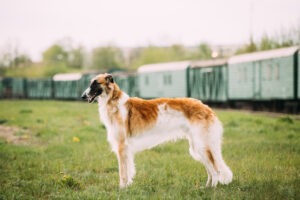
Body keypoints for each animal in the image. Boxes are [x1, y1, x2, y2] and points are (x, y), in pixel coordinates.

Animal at [81, 73, 233, 188]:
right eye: (91, 83)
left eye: (95, 83)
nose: (82, 96)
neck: (114, 101)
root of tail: (207, 108)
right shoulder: (126, 149)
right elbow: (128, 171)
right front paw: (128, 186)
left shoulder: (121, 146)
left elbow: (123, 173)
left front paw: (122, 188)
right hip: (197, 147)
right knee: (211, 170)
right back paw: (206, 187)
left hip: (202, 145)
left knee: (215, 171)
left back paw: (211, 189)